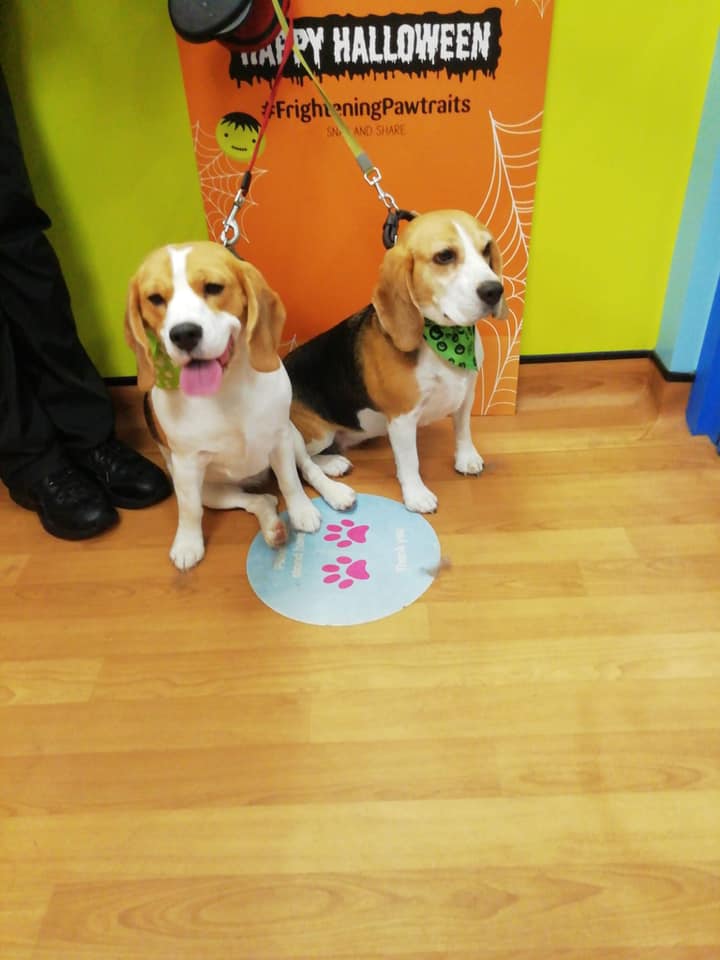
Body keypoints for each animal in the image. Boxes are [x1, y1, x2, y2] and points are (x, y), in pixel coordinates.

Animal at [124, 241, 343, 570]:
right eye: (155, 299)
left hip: (291, 436)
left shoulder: (279, 439)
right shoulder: (186, 466)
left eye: (214, 287)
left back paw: (334, 486)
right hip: (210, 490)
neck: (225, 389)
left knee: (306, 466)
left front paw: (302, 511)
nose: (184, 333)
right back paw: (273, 527)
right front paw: (188, 543)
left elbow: (291, 481)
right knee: (257, 500)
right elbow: (189, 510)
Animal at [285, 209, 505, 513]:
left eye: (486, 249)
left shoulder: (466, 395)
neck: (445, 340)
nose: (495, 290)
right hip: (315, 433)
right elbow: (410, 460)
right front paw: (416, 495)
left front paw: (466, 458)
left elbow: (463, 430)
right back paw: (333, 469)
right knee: (303, 462)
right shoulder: (402, 418)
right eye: (444, 256)